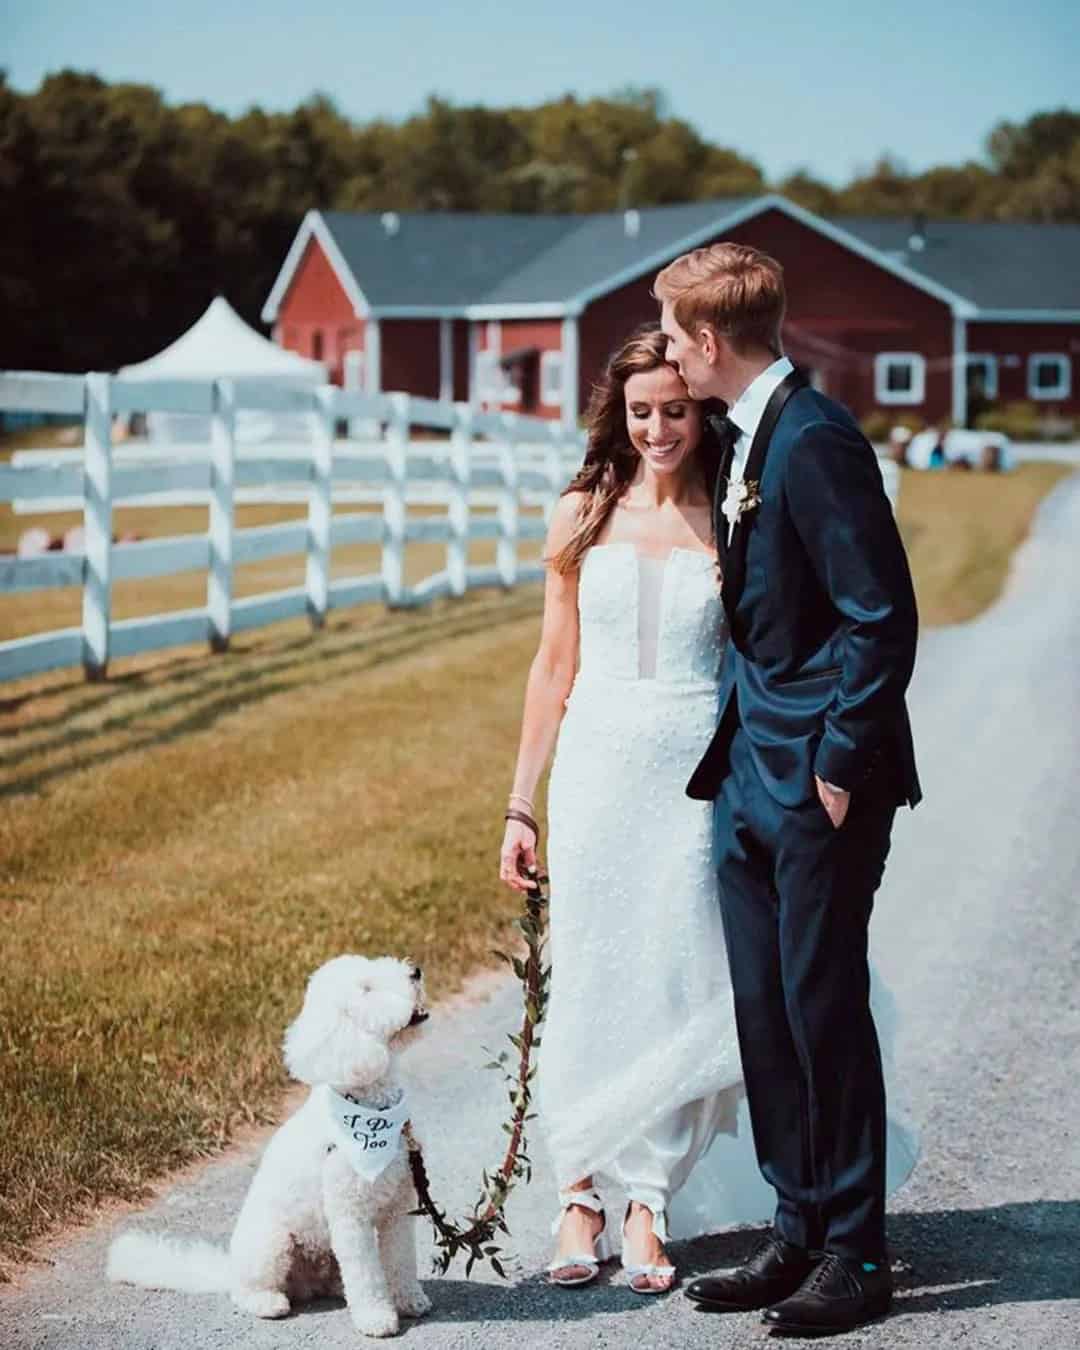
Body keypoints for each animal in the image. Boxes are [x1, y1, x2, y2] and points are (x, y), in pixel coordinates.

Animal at [106, 955, 429, 1333]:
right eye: (367, 988)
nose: (416, 971)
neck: (370, 1108)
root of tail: (229, 1269)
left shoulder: (399, 1207)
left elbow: (402, 1260)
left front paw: (409, 1300)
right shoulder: (350, 1216)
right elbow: (366, 1274)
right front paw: (376, 1318)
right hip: (271, 1245)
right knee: (247, 1290)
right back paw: (268, 1302)